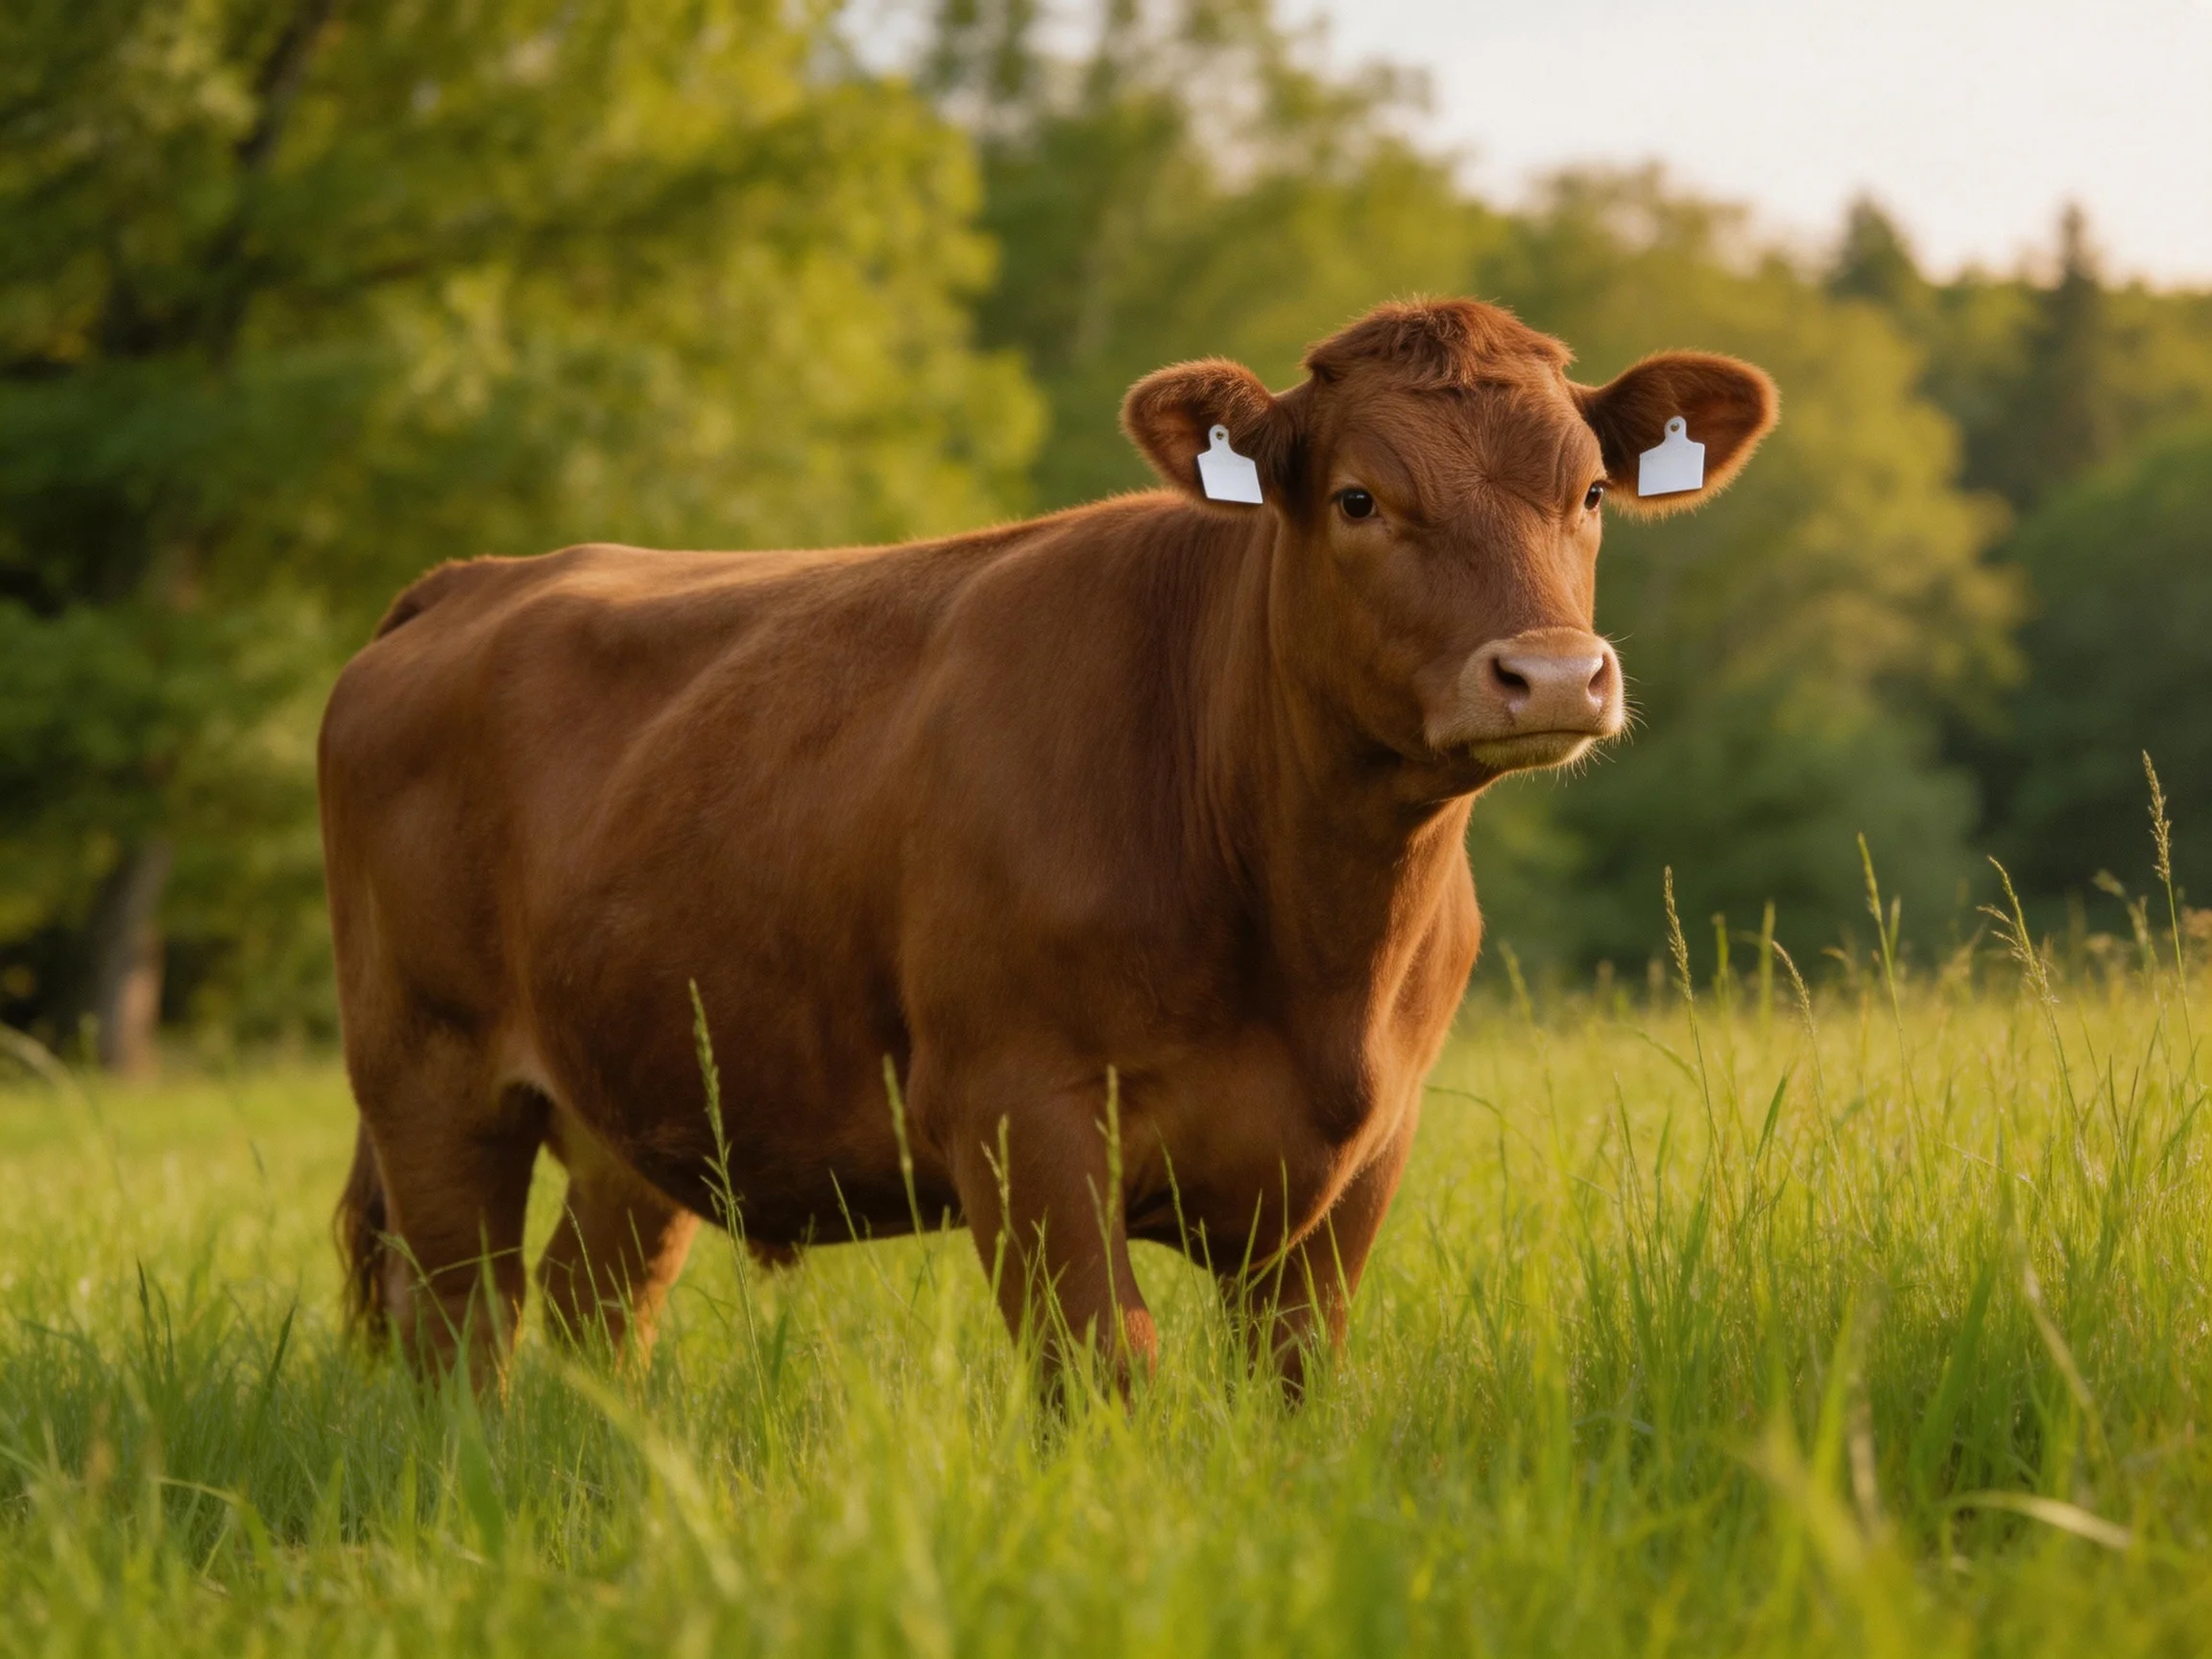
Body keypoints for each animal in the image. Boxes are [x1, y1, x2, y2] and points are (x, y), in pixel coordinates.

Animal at [320, 298, 1776, 1395]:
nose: (1553, 674)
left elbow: (1298, 1379)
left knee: (591, 1320)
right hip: (429, 1077)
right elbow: (1104, 1366)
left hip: (636, 1110)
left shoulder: (1361, 1155)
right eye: (1361, 497)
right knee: (458, 1326)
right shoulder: (1017, 1110)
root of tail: (478, 578)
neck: (1312, 940)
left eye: (1589, 493)